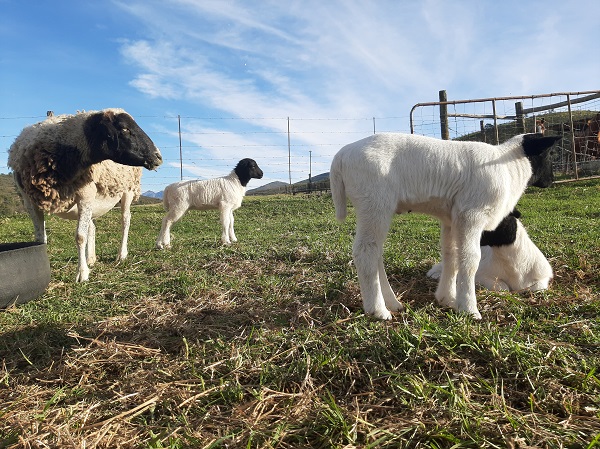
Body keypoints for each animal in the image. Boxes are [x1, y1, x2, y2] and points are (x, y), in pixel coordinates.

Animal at [8, 108, 163, 282]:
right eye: (124, 129)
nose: (158, 156)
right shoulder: (28, 200)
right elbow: (40, 239)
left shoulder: (85, 194)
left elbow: (80, 237)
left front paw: (82, 273)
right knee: (92, 226)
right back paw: (91, 258)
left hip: (128, 189)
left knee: (125, 220)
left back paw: (121, 255)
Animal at [330, 132, 559, 320]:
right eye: (549, 154)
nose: (551, 182)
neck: (510, 170)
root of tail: (340, 155)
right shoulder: (471, 214)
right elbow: (470, 260)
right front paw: (469, 309)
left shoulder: (452, 218)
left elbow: (452, 256)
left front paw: (447, 299)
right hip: (374, 202)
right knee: (365, 252)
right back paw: (378, 310)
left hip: (376, 208)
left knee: (375, 252)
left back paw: (392, 303)